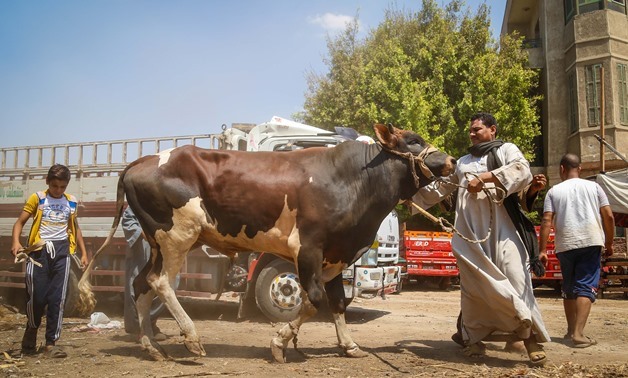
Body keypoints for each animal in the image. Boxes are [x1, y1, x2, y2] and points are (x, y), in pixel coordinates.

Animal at [77, 122, 456, 362]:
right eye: (414, 140)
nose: (451, 160)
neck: (352, 180)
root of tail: (143, 160)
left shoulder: (336, 255)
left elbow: (336, 303)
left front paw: (349, 345)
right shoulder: (308, 249)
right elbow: (313, 299)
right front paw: (279, 342)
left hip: (158, 242)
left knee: (141, 283)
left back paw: (152, 346)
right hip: (178, 236)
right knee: (160, 282)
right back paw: (192, 339)